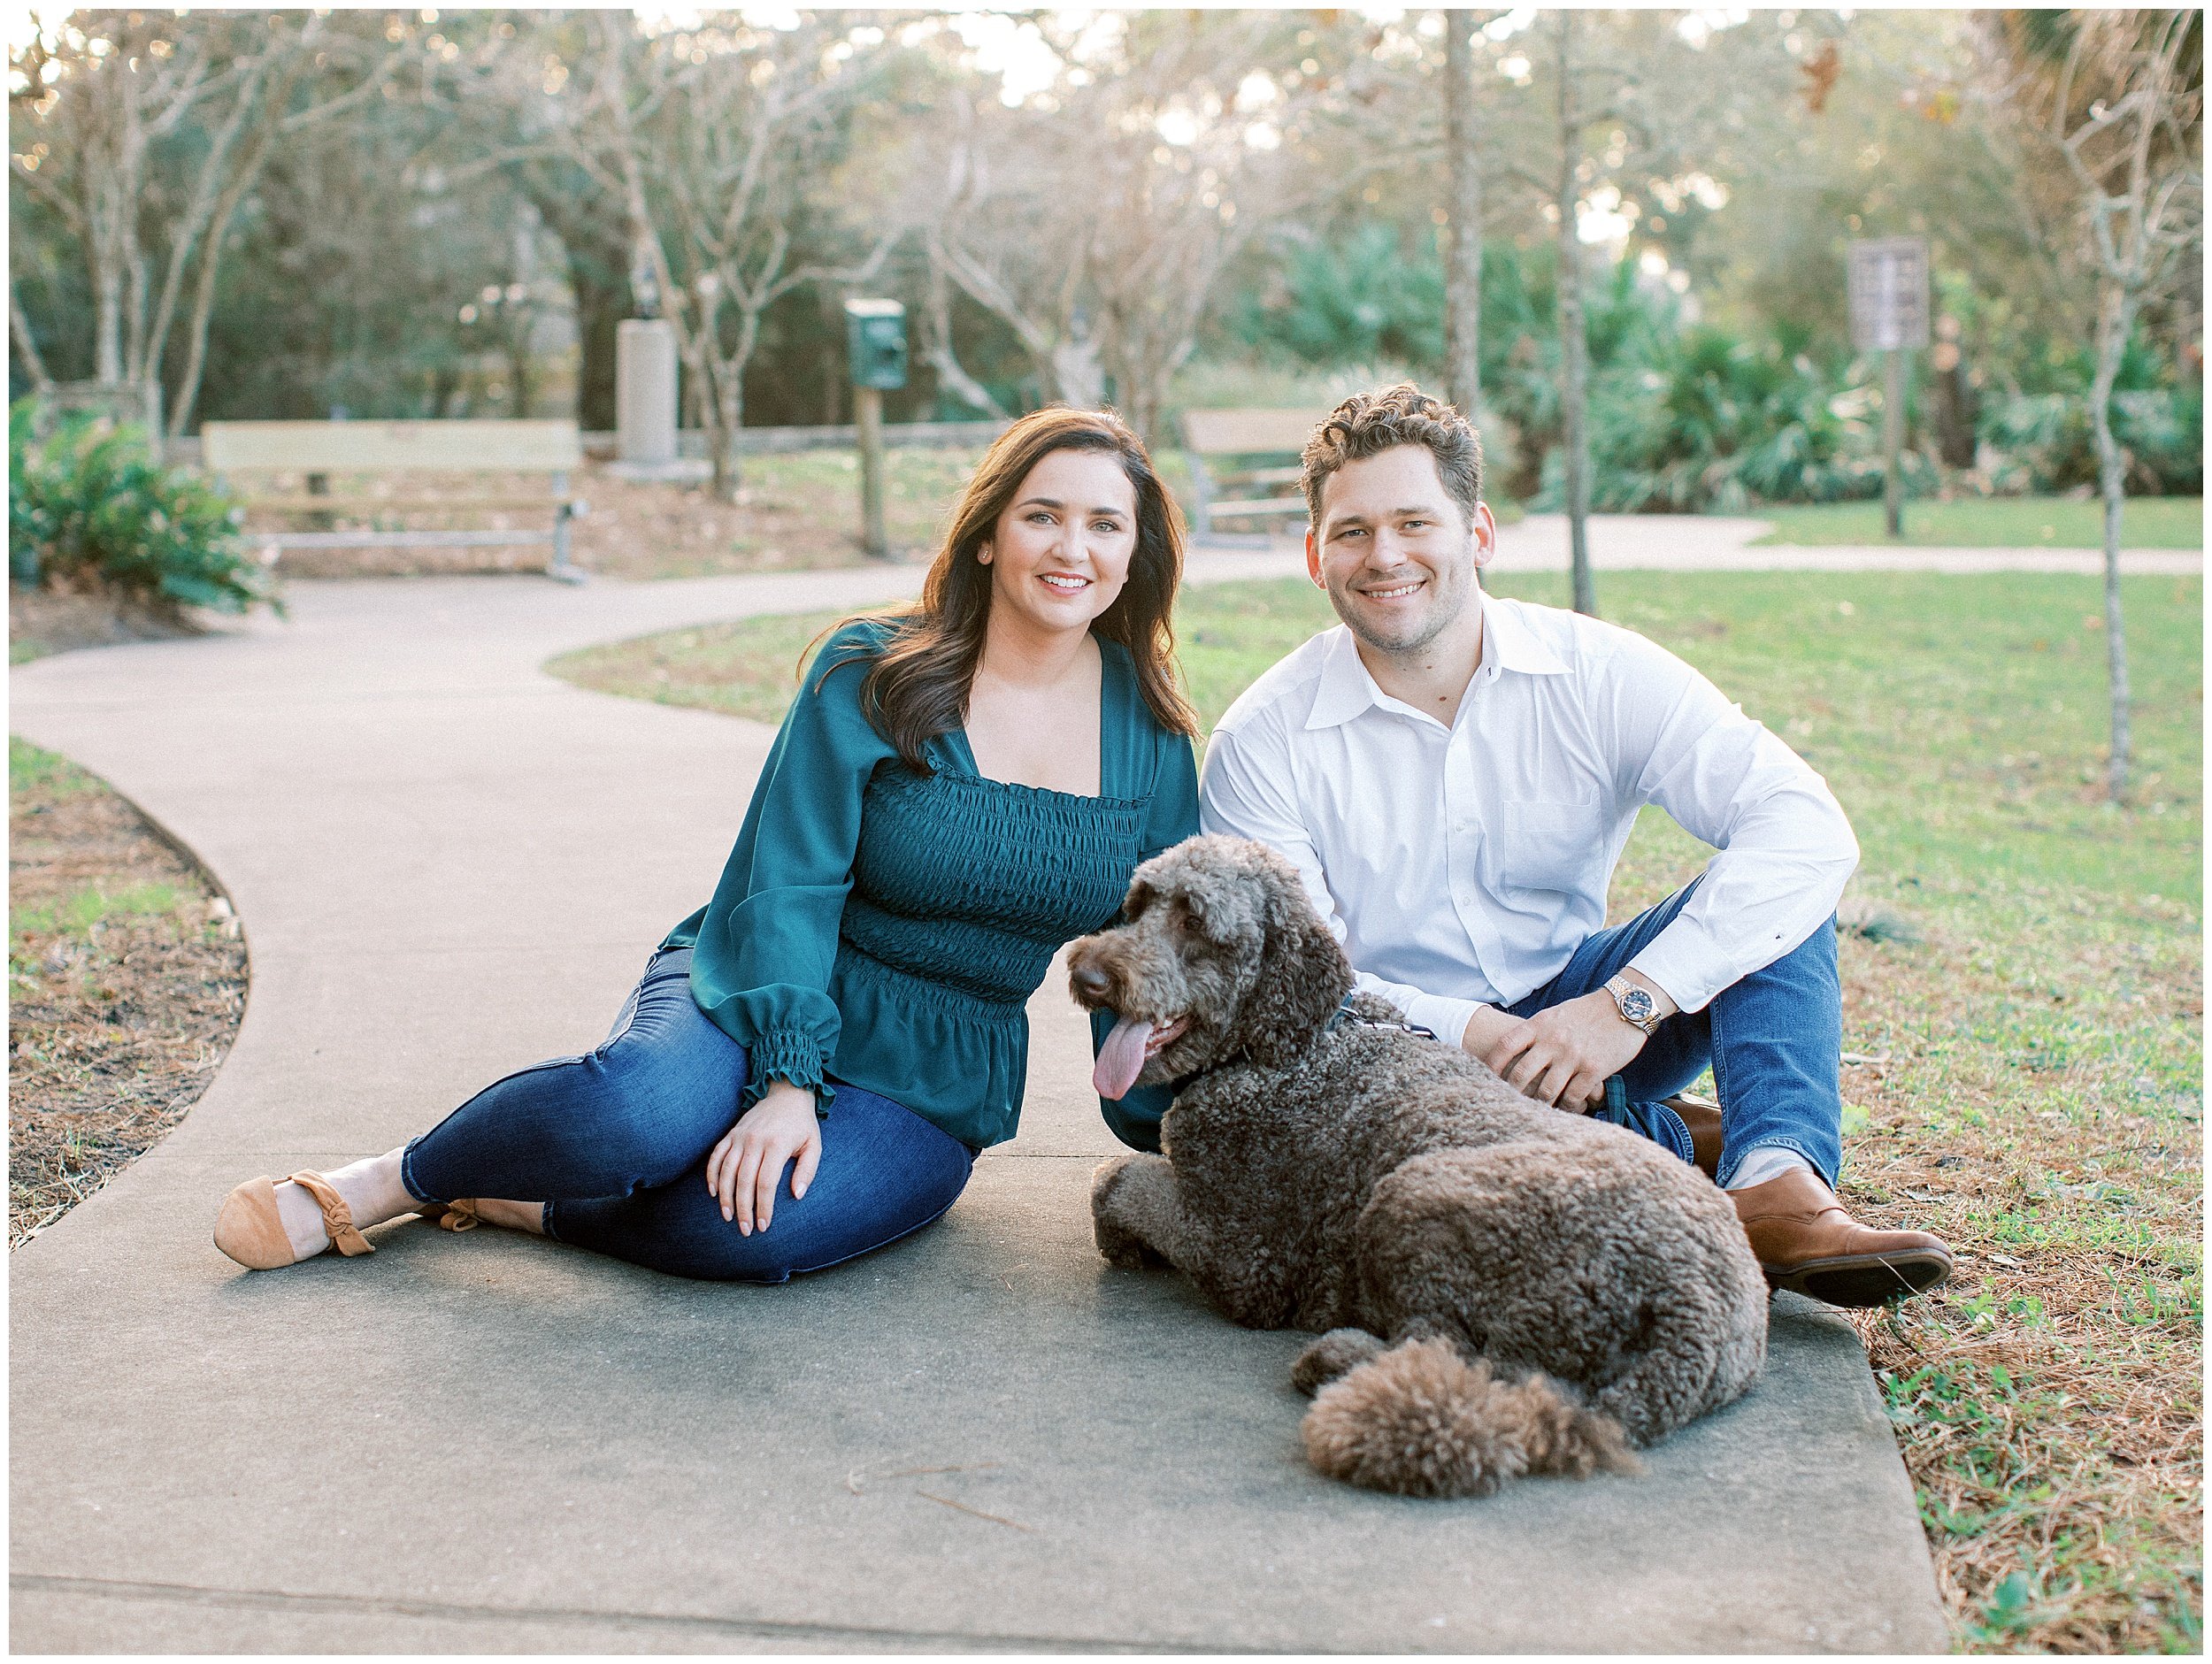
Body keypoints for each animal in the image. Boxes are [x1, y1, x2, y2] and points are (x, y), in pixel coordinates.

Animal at [1062, 832, 1770, 1495]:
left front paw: (1122, 1238)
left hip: (1414, 1191)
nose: (1089, 976)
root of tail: (1697, 1309)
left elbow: (1114, 1180)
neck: (1299, 1040)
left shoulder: (1242, 1256)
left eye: (1196, 922)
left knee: (1447, 1350)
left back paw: (1339, 1355)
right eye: (1141, 903)